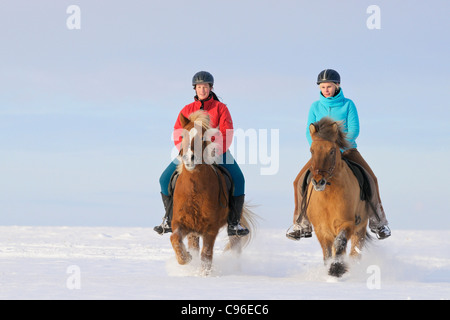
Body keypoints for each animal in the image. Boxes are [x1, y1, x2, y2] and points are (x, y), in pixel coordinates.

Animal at [171, 110, 255, 276]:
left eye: (203, 137)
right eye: (182, 136)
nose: (189, 158)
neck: (194, 190)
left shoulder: (210, 229)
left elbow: (206, 256)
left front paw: (205, 275)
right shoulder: (180, 223)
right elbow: (175, 239)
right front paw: (186, 258)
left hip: (233, 230)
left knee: (236, 250)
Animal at [300, 117, 370, 278]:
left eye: (332, 151)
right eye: (312, 150)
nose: (318, 181)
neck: (328, 195)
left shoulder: (347, 223)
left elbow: (340, 242)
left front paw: (337, 269)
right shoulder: (321, 229)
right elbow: (327, 252)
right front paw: (331, 268)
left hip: (360, 228)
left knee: (355, 252)